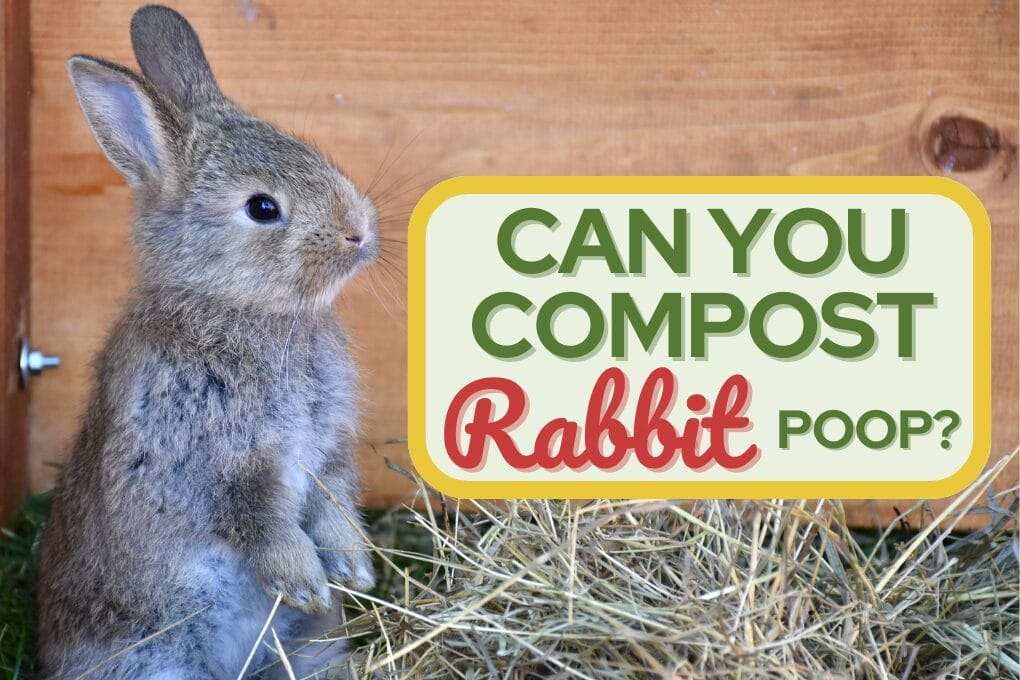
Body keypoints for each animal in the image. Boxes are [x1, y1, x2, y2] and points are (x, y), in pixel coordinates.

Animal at [36, 5, 378, 679]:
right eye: (263, 207)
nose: (358, 231)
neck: (236, 308)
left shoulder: (328, 451)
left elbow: (333, 499)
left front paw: (354, 568)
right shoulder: (204, 460)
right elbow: (257, 521)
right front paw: (305, 581)